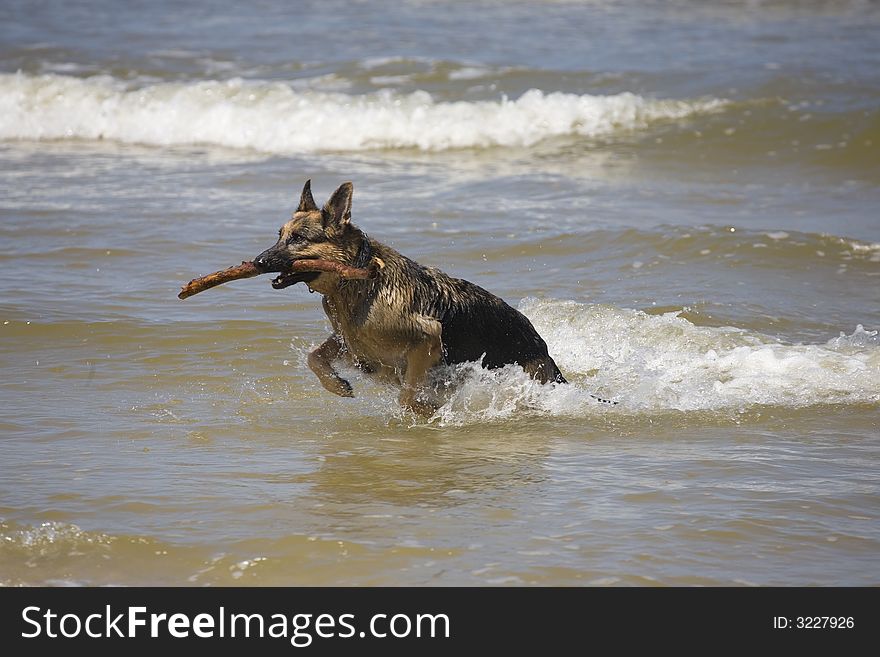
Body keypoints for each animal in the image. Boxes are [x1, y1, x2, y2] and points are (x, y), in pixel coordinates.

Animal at [258, 179, 568, 416]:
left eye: (298, 238)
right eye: (280, 235)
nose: (259, 261)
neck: (358, 278)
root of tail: (542, 346)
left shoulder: (428, 337)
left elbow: (407, 396)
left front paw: (426, 411)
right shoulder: (352, 345)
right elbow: (315, 356)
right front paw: (336, 384)